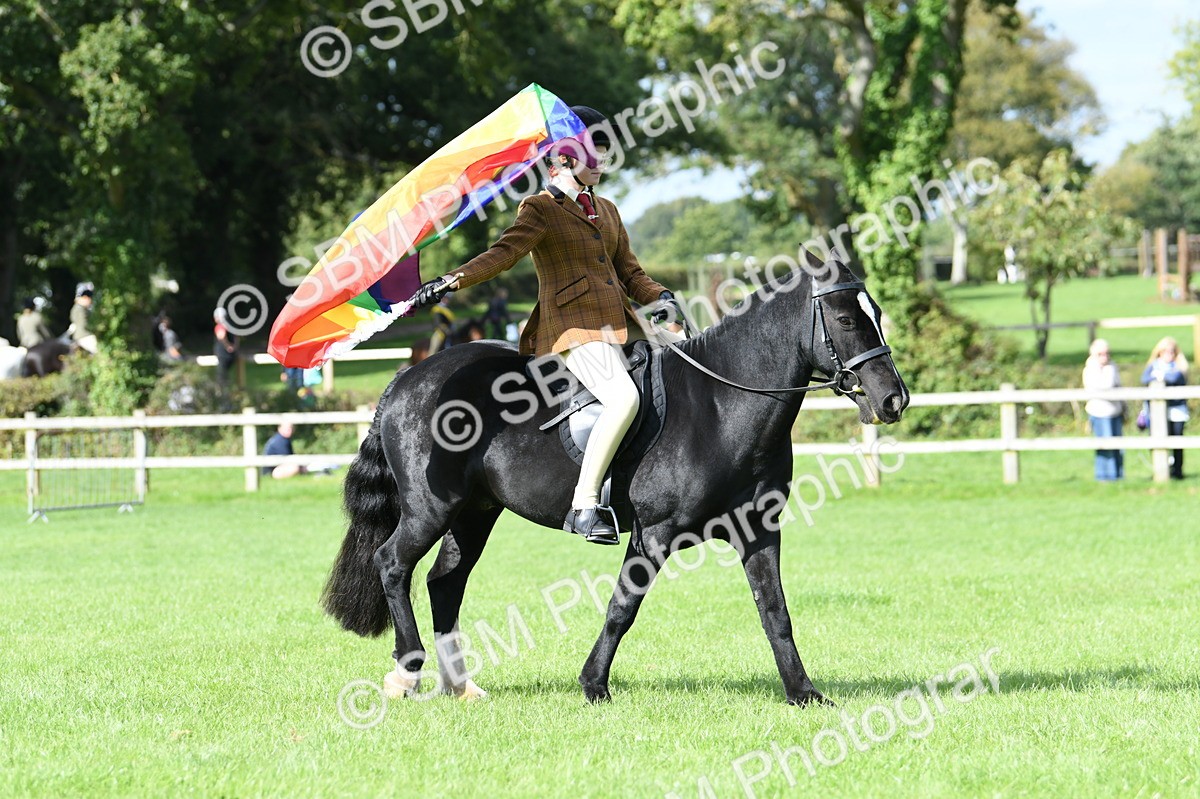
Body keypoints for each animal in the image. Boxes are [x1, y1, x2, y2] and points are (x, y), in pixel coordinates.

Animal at [322, 252, 910, 706]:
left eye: (877, 313)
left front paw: (803, 693)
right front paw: (594, 686)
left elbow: (776, 613)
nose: (893, 400)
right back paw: (407, 674)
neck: (722, 404)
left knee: (445, 583)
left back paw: (461, 686)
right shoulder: (654, 533)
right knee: (392, 564)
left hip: (474, 514)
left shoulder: (760, 531)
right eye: (847, 320)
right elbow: (623, 607)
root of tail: (409, 377)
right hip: (430, 508)